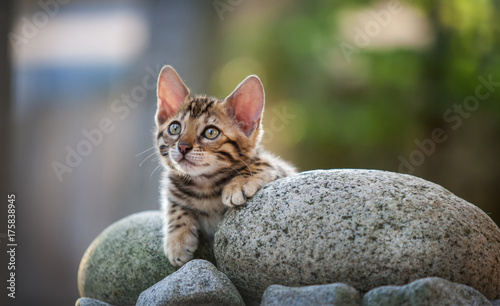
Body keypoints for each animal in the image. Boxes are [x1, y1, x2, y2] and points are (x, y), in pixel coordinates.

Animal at [154, 65, 294, 266]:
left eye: (211, 132)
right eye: (175, 128)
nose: (183, 147)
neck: (204, 185)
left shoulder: (286, 171)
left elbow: (265, 161)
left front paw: (239, 183)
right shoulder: (172, 189)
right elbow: (174, 206)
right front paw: (177, 240)